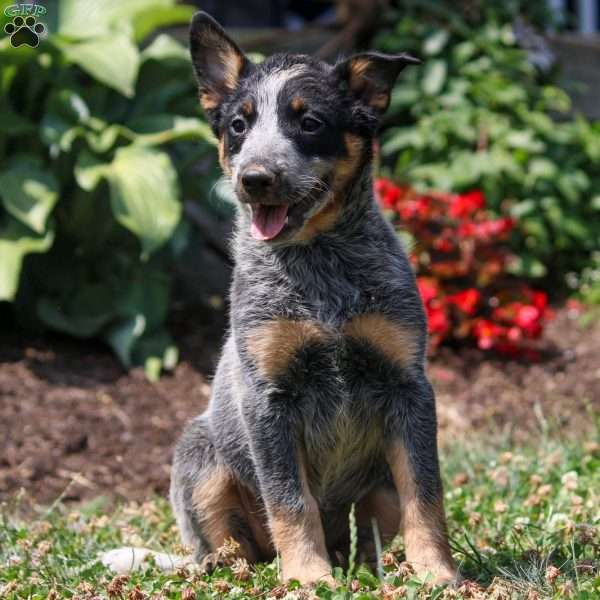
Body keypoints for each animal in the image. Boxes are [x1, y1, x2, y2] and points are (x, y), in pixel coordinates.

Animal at [104, 11, 460, 588]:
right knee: (232, 550)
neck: (320, 269)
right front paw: (308, 578)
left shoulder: (408, 386)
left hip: (377, 477)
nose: (254, 179)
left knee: (370, 529)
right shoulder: (268, 398)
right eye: (238, 126)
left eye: (309, 122)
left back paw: (376, 569)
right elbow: (291, 500)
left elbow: (425, 493)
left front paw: (435, 571)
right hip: (200, 457)